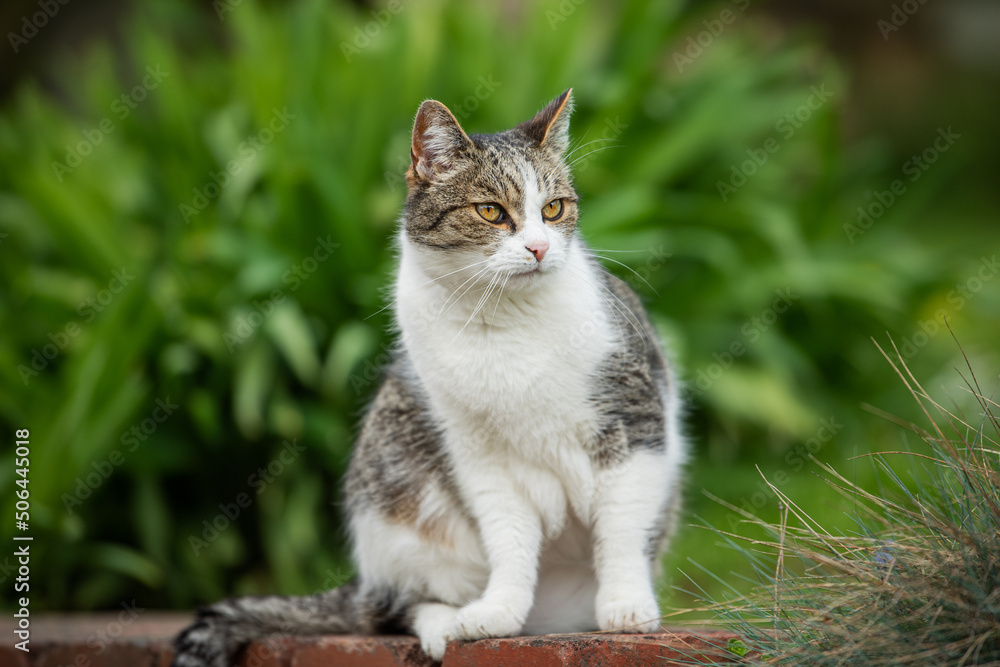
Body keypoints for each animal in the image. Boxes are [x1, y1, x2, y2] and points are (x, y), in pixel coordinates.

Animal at [172, 90, 688, 667]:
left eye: (553, 209)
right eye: (491, 211)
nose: (539, 248)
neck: (504, 320)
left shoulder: (634, 417)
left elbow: (622, 524)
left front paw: (626, 604)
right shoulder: (478, 454)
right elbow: (509, 538)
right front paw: (497, 611)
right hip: (392, 512)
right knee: (393, 608)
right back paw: (447, 623)